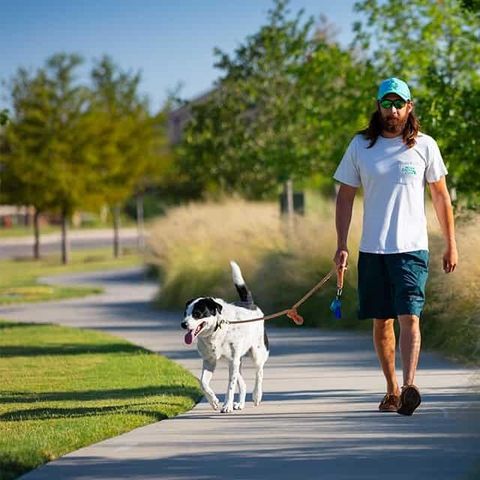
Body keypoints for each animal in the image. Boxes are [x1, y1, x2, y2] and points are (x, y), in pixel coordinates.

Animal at [181, 260, 270, 414]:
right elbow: (203, 383)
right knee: (243, 383)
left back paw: (257, 396)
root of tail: (248, 303)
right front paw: (214, 402)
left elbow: (230, 386)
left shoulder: (233, 361)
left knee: (259, 373)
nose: (183, 324)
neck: (215, 332)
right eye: (185, 313)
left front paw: (227, 405)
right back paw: (240, 404)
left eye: (197, 314)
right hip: (236, 361)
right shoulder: (209, 361)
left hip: (256, 353)